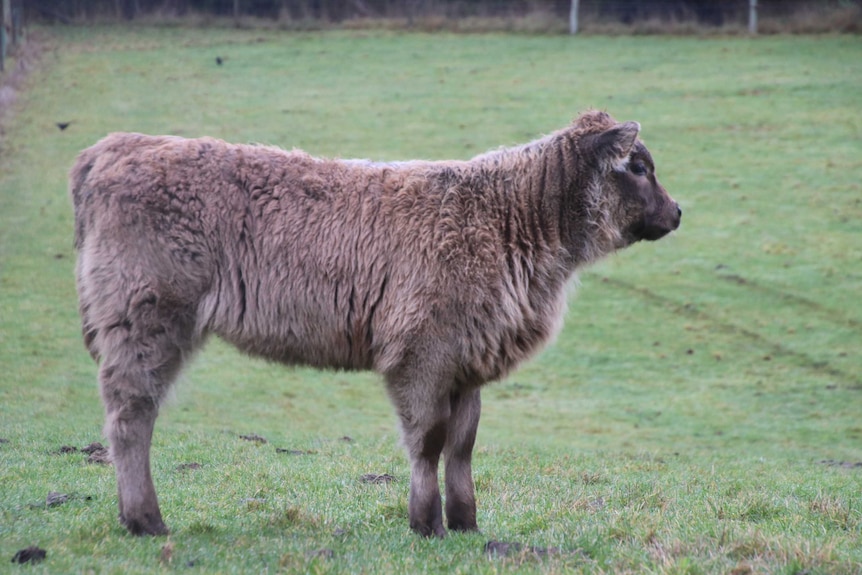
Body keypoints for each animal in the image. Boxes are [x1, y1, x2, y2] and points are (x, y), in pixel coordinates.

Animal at [69, 110, 680, 536]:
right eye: (639, 167)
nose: (677, 212)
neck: (507, 220)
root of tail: (115, 146)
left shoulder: (467, 362)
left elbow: (462, 444)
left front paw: (466, 523)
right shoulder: (422, 355)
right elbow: (429, 441)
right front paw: (426, 523)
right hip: (145, 321)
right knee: (131, 417)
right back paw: (146, 520)